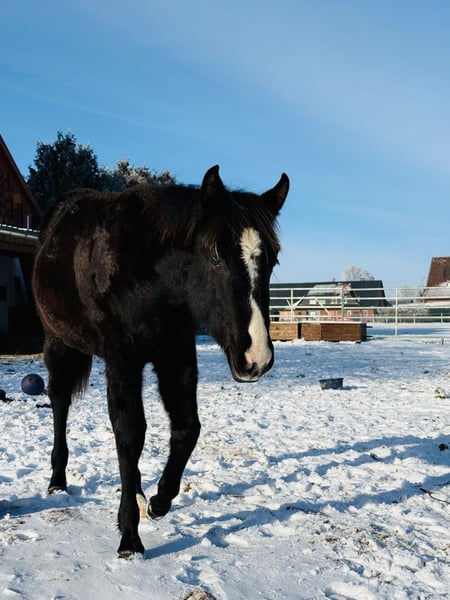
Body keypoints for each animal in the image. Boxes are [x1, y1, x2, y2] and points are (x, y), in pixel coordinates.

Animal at [32, 165, 289, 557]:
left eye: (272, 259)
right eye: (216, 255)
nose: (256, 358)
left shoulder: (176, 353)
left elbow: (186, 429)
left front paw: (157, 501)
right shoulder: (122, 359)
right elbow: (129, 434)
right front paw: (129, 537)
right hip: (58, 342)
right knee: (60, 403)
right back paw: (58, 480)